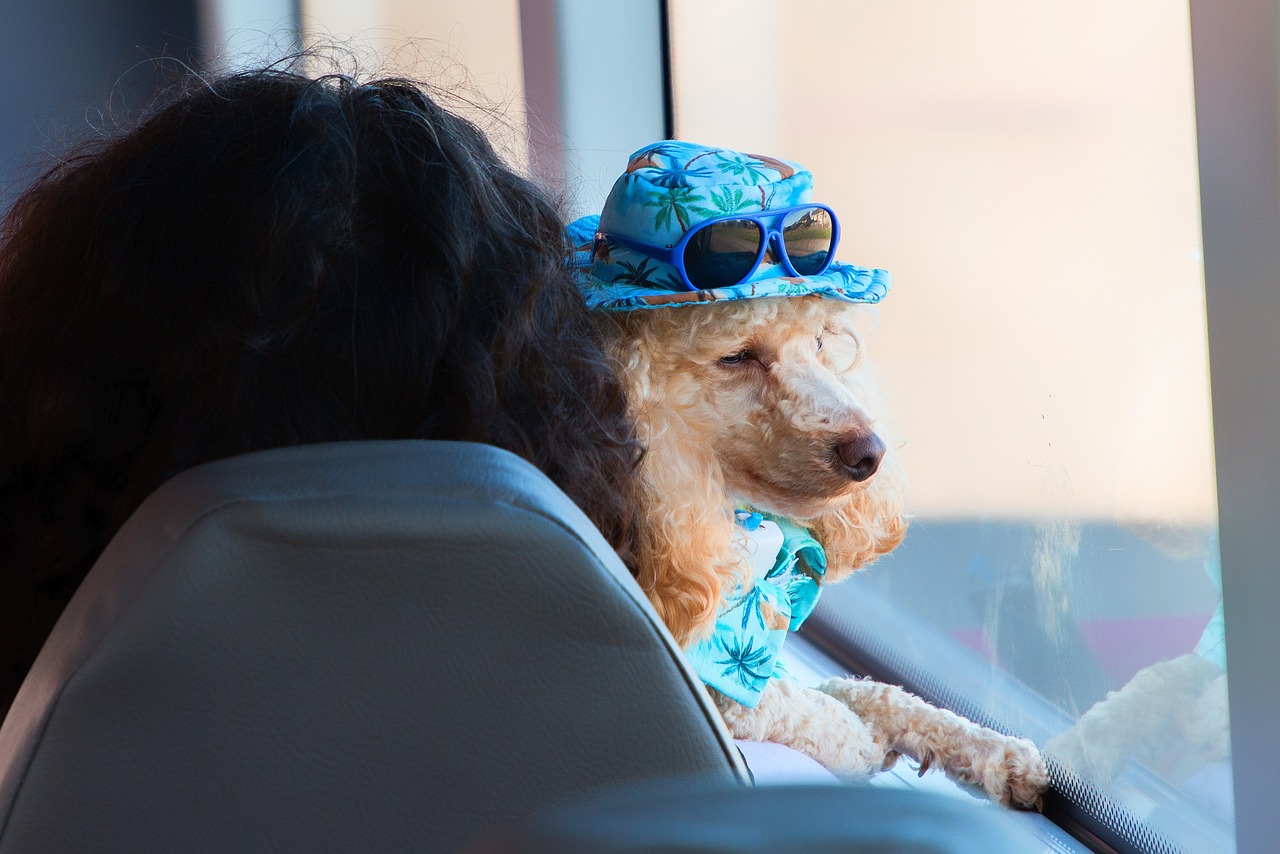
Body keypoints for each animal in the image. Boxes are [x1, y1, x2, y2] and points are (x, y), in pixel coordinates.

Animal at [573, 142, 1049, 809]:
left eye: (821, 342)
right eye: (736, 356)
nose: (870, 454)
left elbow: (871, 691)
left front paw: (993, 750)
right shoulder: (720, 682)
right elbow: (802, 710)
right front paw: (863, 742)